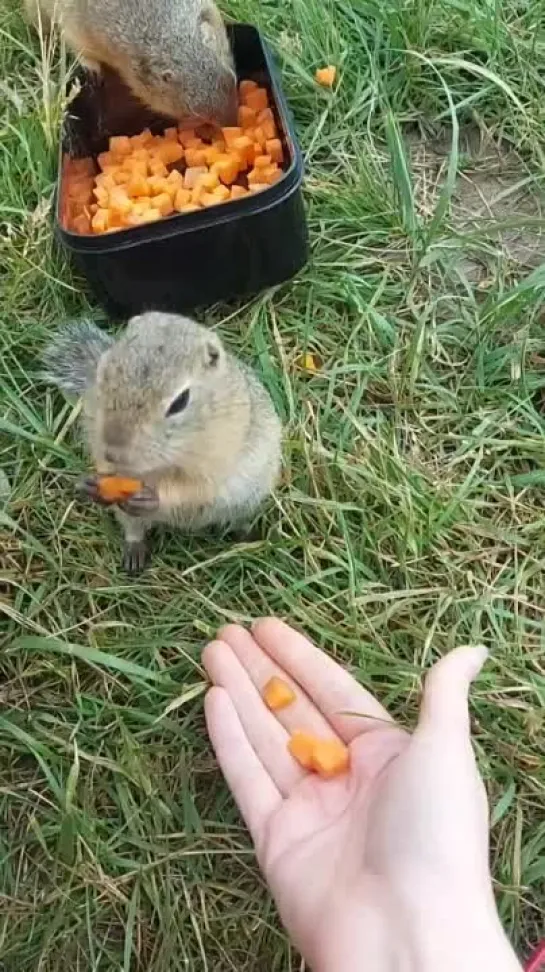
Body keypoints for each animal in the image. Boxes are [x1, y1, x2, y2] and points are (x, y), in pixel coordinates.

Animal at [26, 0, 236, 125]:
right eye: (192, 114)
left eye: (232, 80)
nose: (233, 124)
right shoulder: (73, 23)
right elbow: (79, 47)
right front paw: (92, 70)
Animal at [42, 314, 280, 568]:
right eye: (102, 374)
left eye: (180, 401)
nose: (113, 452)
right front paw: (90, 484)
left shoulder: (218, 456)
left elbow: (195, 490)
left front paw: (154, 497)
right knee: (134, 527)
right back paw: (134, 551)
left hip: (248, 499)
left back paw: (247, 535)